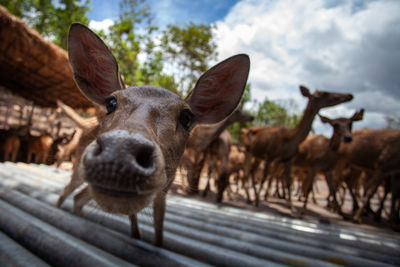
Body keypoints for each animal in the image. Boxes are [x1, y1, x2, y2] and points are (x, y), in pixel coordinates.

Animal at [56, 24, 250, 248]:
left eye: (186, 116)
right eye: (111, 102)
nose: (119, 153)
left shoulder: (166, 188)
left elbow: (159, 228)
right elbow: (135, 224)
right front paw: (137, 235)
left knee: (78, 198)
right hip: (78, 166)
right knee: (66, 192)